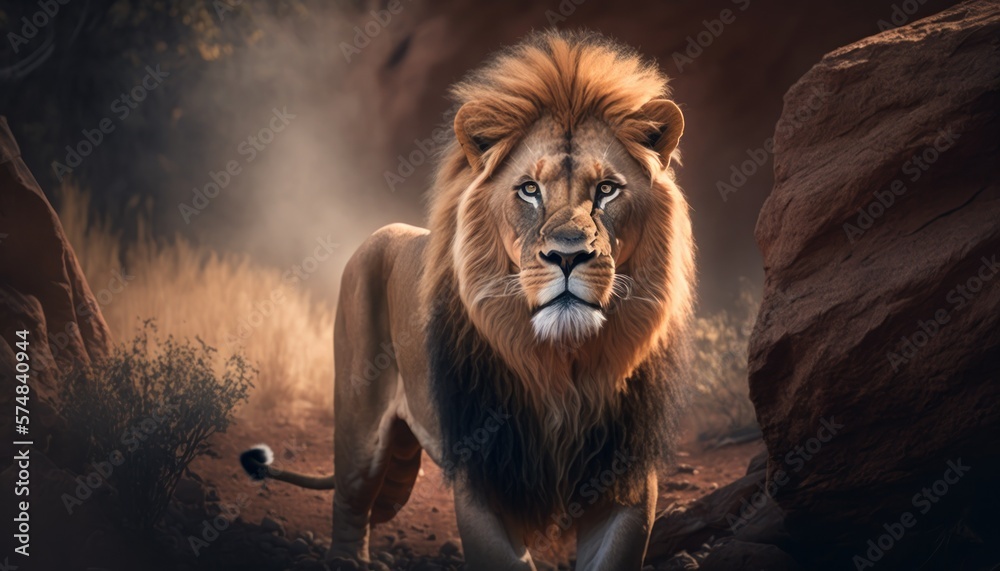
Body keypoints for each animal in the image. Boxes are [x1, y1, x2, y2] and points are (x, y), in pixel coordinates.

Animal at [241, 29, 694, 570]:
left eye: (607, 190)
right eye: (529, 190)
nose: (568, 255)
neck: (561, 365)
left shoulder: (625, 480)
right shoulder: (484, 477)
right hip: (358, 422)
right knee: (350, 501)